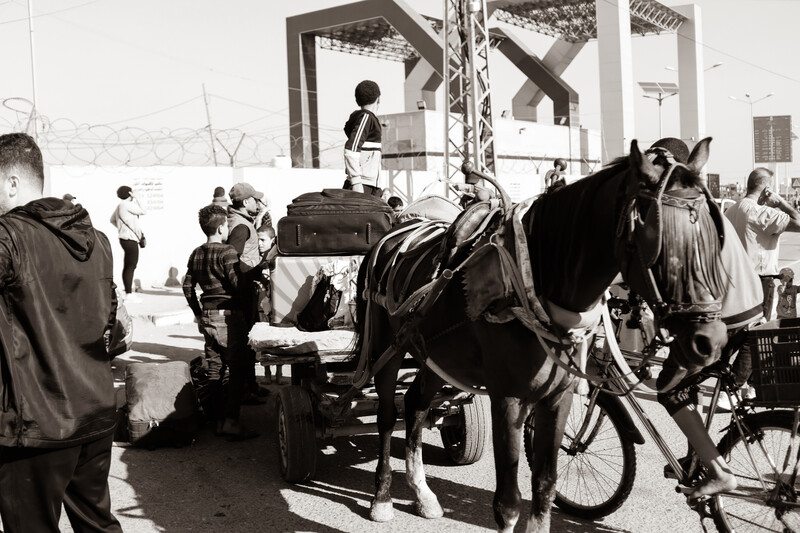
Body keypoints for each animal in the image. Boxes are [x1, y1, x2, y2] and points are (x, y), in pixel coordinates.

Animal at [354, 139, 728, 528]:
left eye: (713, 234)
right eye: (658, 237)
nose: (711, 340)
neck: (533, 281)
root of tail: (394, 233)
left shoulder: (558, 396)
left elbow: (546, 485)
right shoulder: (507, 398)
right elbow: (507, 502)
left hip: (435, 354)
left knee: (415, 405)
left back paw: (421, 492)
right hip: (387, 347)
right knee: (387, 414)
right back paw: (382, 497)